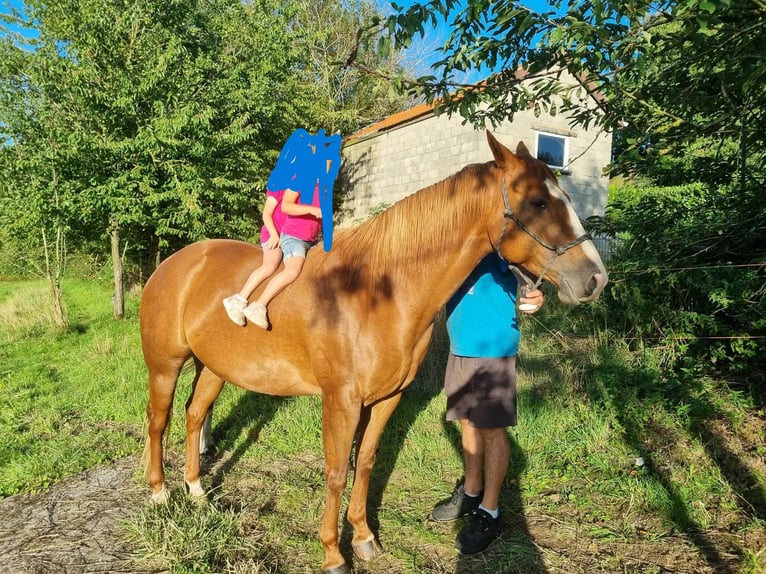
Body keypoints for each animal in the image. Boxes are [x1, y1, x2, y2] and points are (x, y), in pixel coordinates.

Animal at [139, 131, 608, 573]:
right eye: (538, 203)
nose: (595, 278)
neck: (378, 292)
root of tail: (175, 262)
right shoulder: (341, 401)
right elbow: (335, 471)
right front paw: (333, 554)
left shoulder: (387, 399)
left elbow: (364, 462)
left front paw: (364, 538)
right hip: (165, 365)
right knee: (159, 421)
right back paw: (160, 493)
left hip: (214, 367)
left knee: (194, 415)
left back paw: (196, 490)